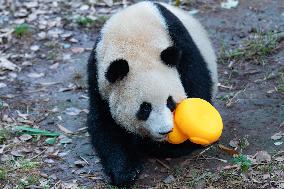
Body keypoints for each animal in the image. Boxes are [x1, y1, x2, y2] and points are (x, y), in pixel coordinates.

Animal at [87, 1, 219, 188]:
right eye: (145, 109)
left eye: (170, 102)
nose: (165, 131)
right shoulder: (99, 77)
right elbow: (104, 124)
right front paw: (126, 171)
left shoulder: (181, 45)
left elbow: (198, 88)